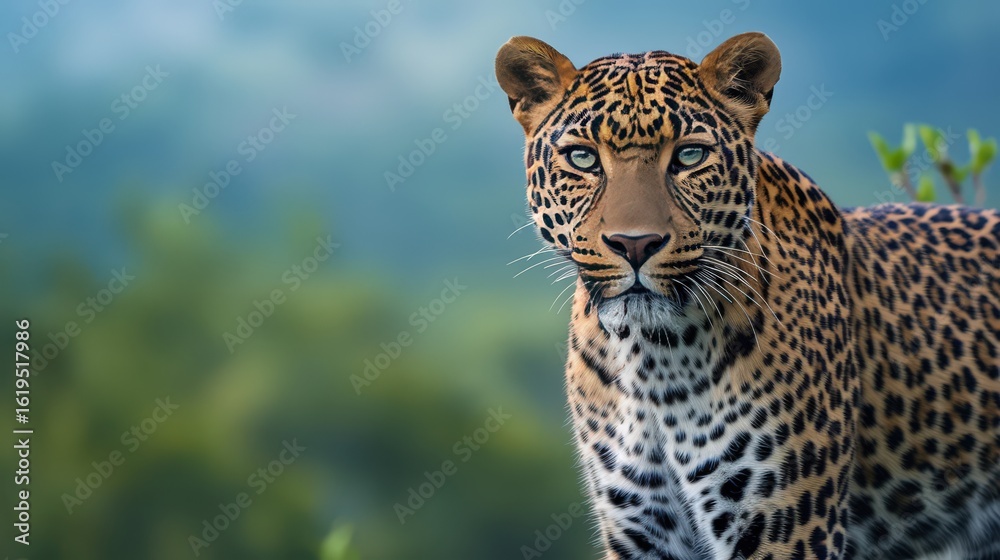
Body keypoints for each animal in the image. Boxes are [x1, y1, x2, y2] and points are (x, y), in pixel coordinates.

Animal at [495, 32, 1000, 559]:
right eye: (583, 159)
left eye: (690, 156)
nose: (635, 244)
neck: (653, 357)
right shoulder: (641, 527)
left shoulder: (786, 525)